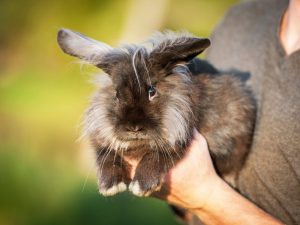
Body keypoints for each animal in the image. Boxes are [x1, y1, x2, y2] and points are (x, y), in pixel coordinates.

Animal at [56, 27, 255, 197]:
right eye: (116, 94)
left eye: (152, 91)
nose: (134, 127)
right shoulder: (102, 142)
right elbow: (106, 156)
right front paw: (110, 186)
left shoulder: (177, 139)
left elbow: (156, 156)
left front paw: (141, 185)